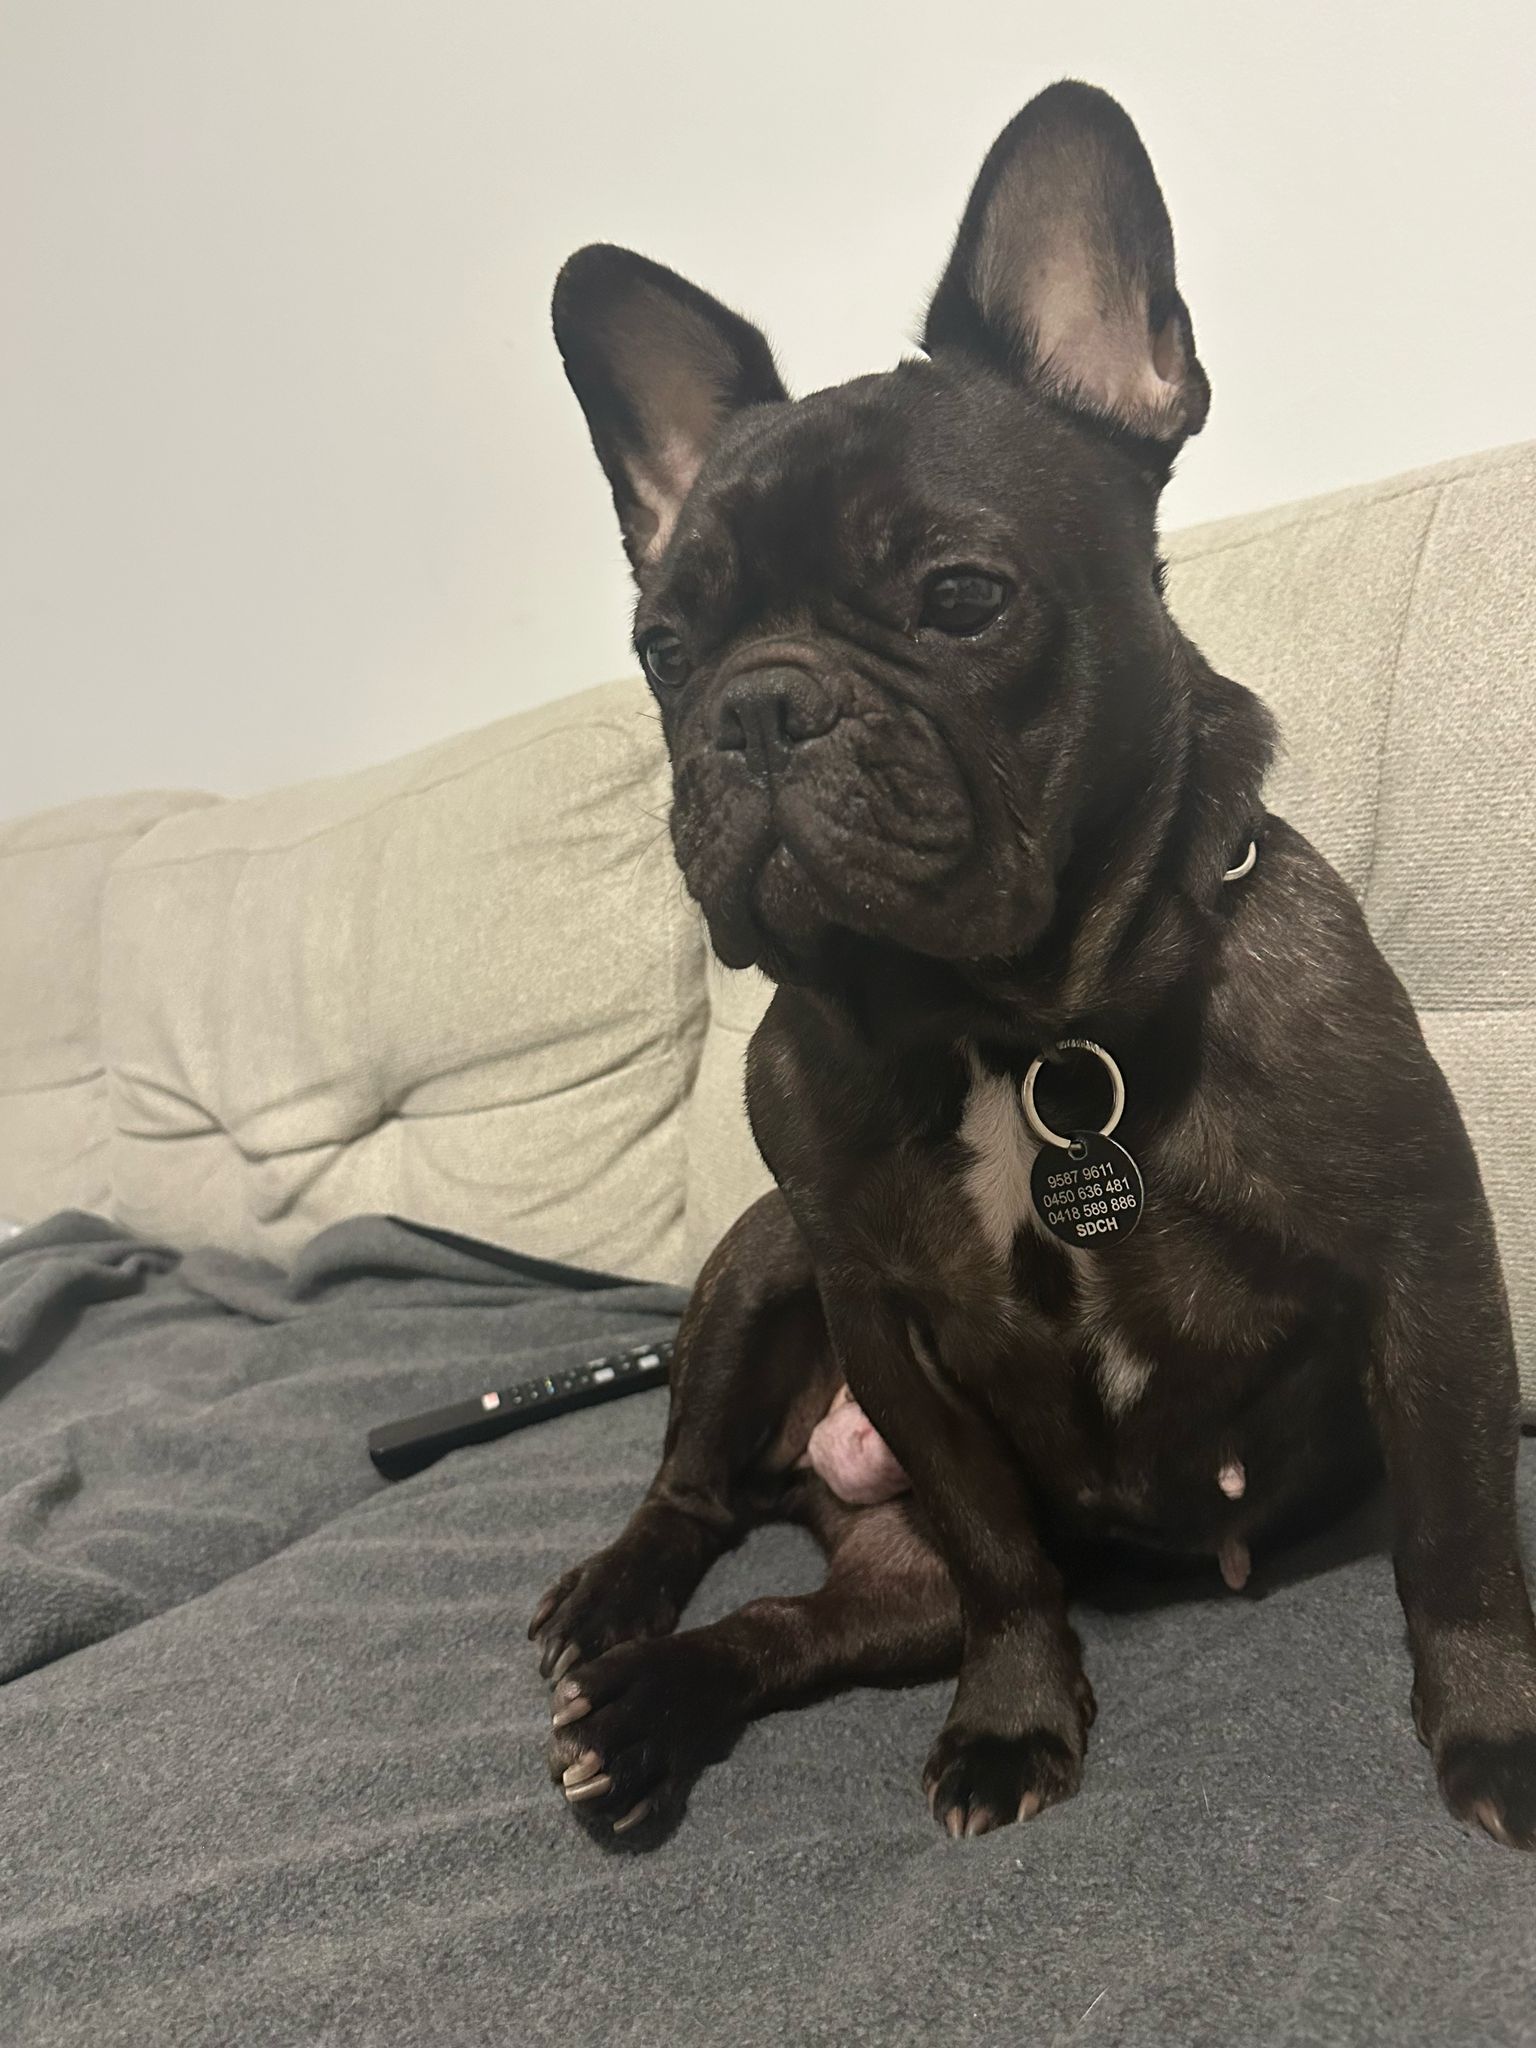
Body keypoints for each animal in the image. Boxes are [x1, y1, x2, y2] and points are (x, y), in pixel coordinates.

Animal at [530, 81, 1536, 1848]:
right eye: (662, 650)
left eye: (958, 597)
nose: (756, 706)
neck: (1020, 1030)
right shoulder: (880, 1316)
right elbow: (1003, 1560)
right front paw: (1012, 1720)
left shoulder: (1429, 1260)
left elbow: (1465, 1524)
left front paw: (1496, 1733)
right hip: (760, 1264)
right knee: (696, 1492)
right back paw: (615, 1611)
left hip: (873, 1555)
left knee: (787, 1626)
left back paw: (652, 1710)